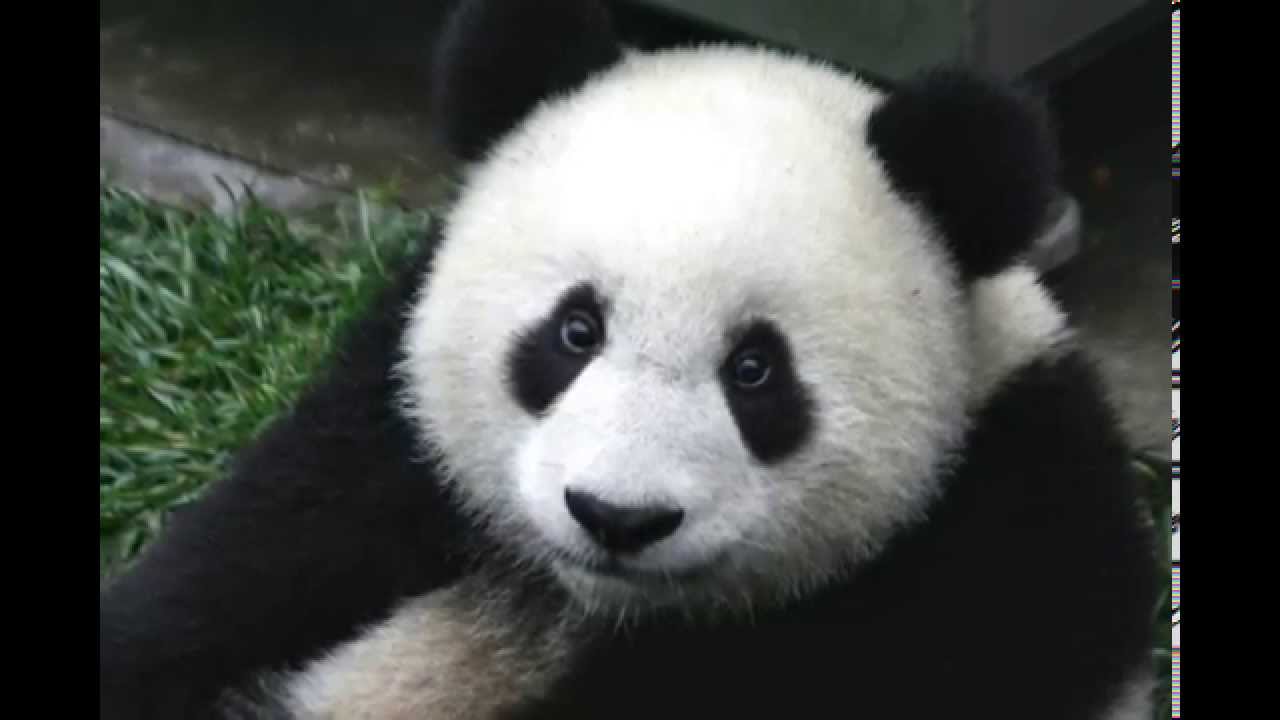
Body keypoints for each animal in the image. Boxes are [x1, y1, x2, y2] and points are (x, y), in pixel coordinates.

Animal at [99, 1, 1160, 718]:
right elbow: (239, 563)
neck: (594, 607)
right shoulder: (387, 432)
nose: (618, 517)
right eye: (575, 332)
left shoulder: (988, 555)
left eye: (755, 371)